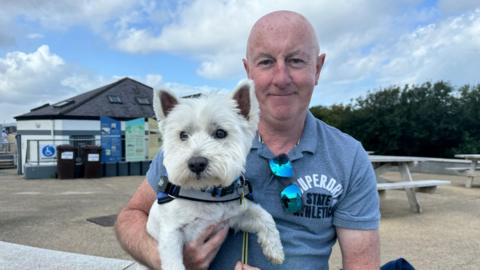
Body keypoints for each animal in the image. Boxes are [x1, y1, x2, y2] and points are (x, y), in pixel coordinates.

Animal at [142, 80, 284, 270]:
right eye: (183, 135)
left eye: (220, 133)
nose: (196, 163)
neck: (206, 193)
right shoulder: (171, 231)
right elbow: (173, 262)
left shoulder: (234, 217)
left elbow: (264, 216)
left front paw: (275, 251)